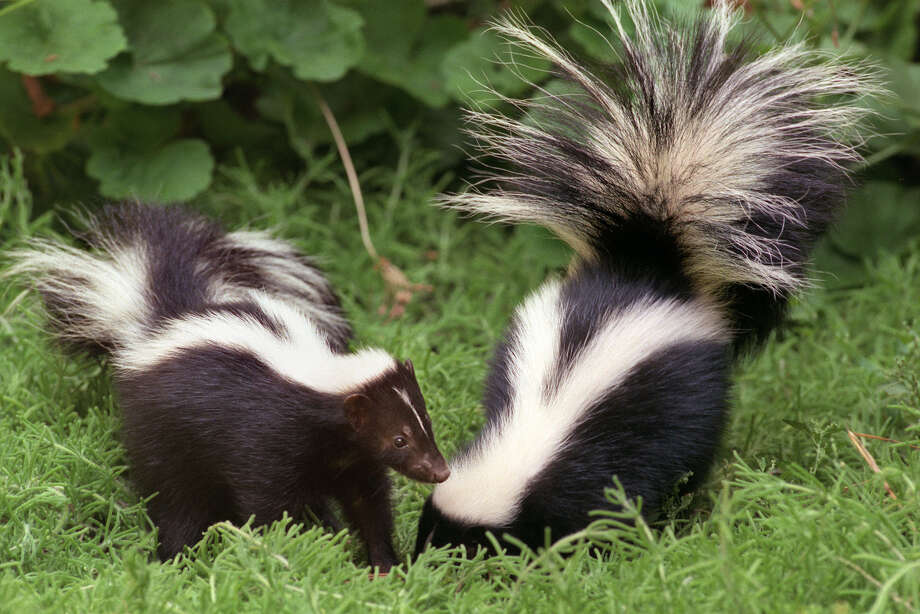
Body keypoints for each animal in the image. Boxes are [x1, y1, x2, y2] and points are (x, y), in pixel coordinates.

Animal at [8, 205, 450, 572]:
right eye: (399, 439)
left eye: (425, 424)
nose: (440, 471)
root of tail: (162, 321)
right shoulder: (267, 441)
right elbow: (271, 505)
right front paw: (296, 548)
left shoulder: (353, 459)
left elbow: (368, 505)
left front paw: (384, 565)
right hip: (164, 434)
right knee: (175, 499)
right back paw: (178, 558)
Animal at [416, 0, 876, 560]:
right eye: (427, 531)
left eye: (459, 545)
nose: (411, 563)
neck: (529, 445)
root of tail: (649, 266)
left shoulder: (594, 462)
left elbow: (601, 505)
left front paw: (597, 547)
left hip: (694, 393)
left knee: (696, 448)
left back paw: (688, 502)